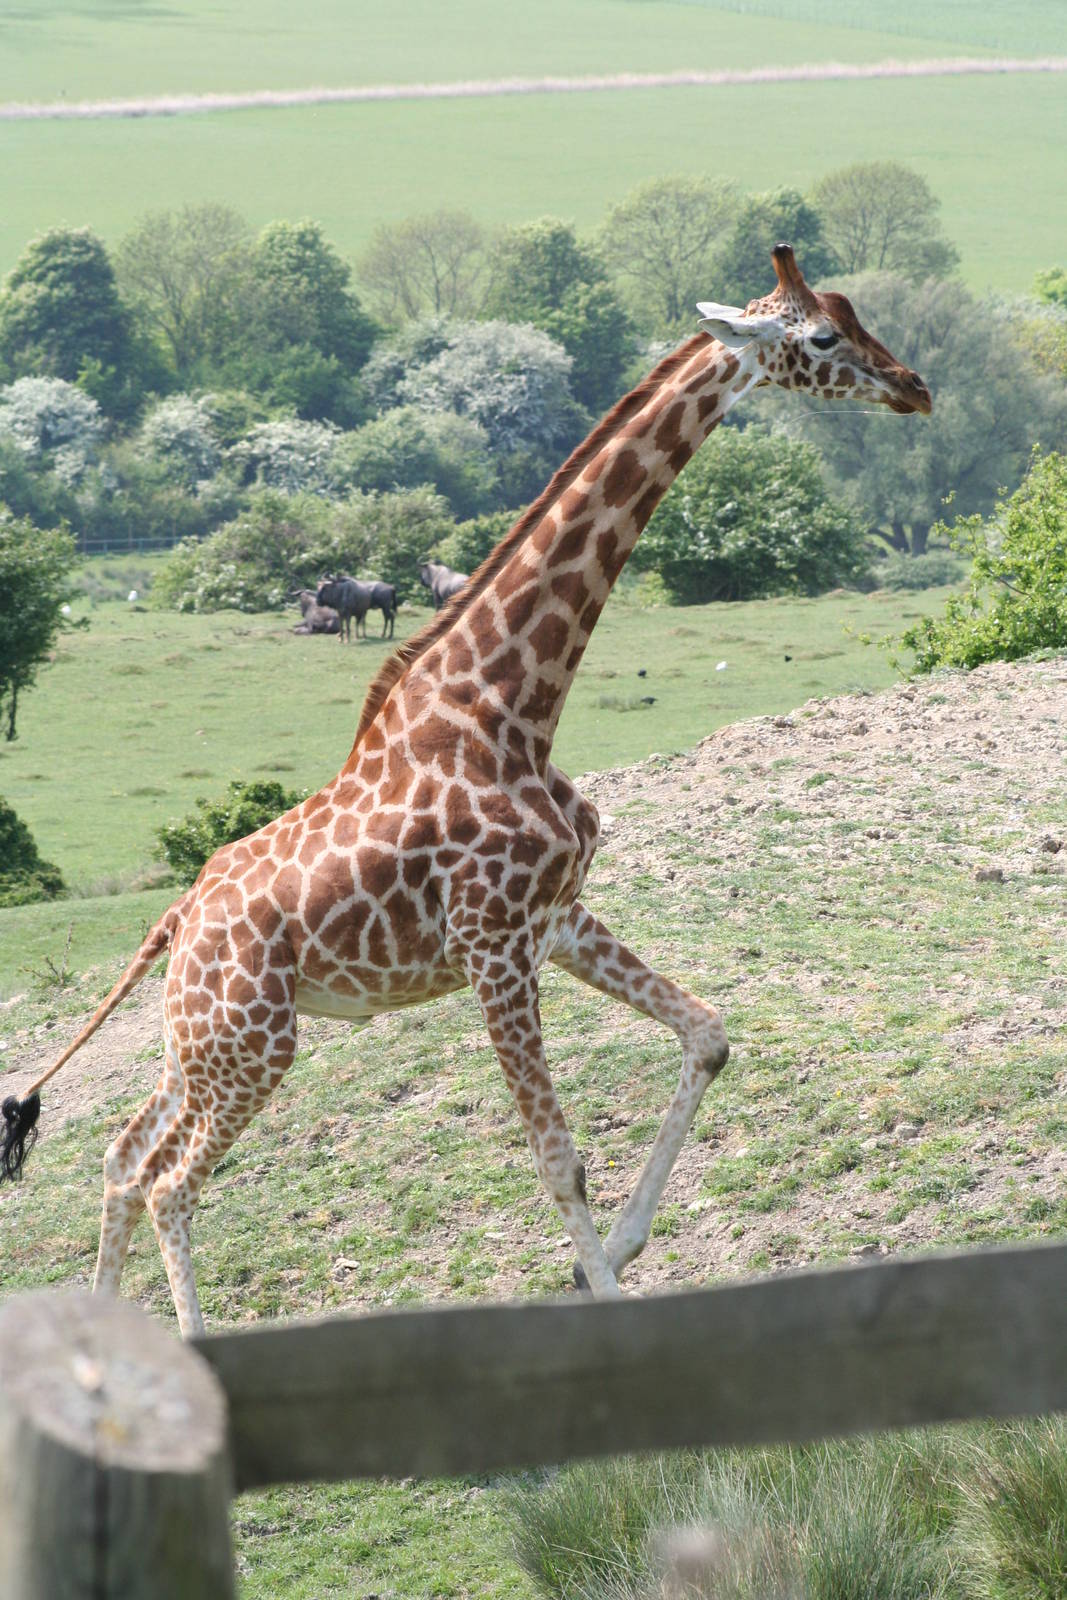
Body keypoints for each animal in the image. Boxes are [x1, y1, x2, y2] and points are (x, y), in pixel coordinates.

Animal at [1, 246, 930, 1335]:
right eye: (821, 336)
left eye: (852, 315)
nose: (913, 386)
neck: (511, 703)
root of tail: (176, 919)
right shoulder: (492, 945)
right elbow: (559, 1161)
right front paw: (604, 1303)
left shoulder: (554, 917)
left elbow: (706, 1034)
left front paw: (615, 1252)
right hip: (250, 1042)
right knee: (170, 1185)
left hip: (199, 1041)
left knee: (119, 1153)